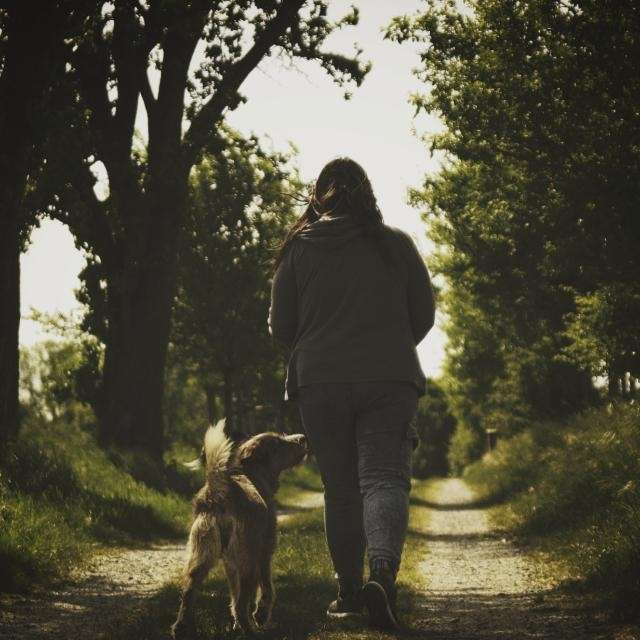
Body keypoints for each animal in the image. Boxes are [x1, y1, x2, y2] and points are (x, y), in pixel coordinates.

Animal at [172, 418, 308, 636]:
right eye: (278, 443)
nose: (303, 438)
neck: (250, 474)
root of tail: (217, 494)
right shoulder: (265, 552)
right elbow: (266, 589)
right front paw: (261, 614)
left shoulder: (230, 563)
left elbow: (233, 596)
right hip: (248, 560)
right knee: (244, 601)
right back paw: (249, 630)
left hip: (200, 557)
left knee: (189, 594)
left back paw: (181, 629)